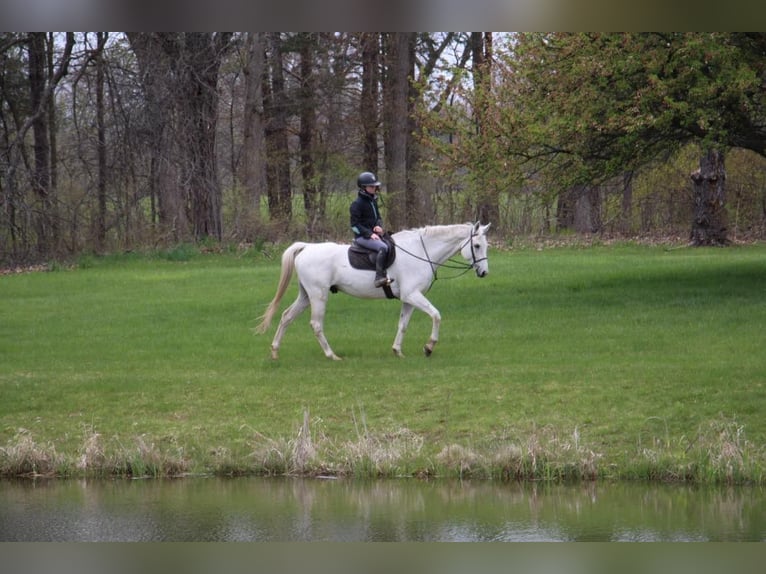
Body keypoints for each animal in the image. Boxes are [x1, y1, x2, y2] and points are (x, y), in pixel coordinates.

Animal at [254, 223, 492, 362]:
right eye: (477, 246)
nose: (484, 273)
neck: (419, 252)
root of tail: (307, 247)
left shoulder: (408, 298)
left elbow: (403, 325)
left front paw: (397, 350)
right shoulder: (413, 295)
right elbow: (436, 315)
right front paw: (429, 347)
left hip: (306, 296)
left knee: (286, 317)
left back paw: (275, 351)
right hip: (318, 295)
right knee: (316, 324)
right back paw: (332, 355)